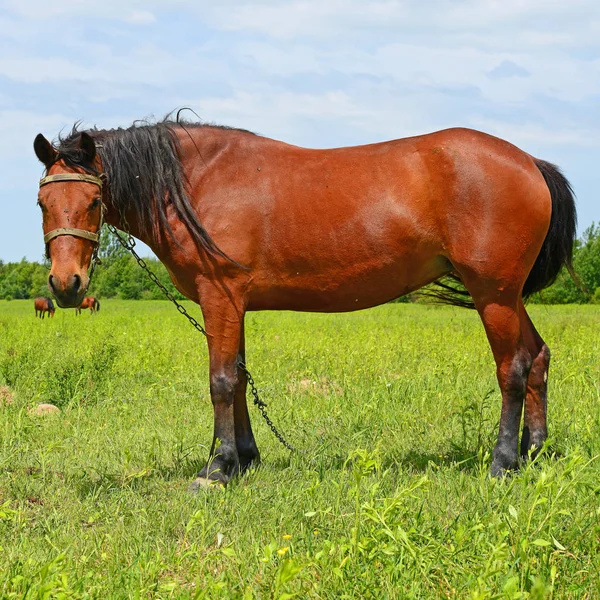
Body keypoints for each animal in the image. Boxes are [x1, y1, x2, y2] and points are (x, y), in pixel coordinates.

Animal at [32, 118, 576, 488]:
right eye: (43, 203)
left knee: (512, 368)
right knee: (539, 357)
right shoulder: (235, 304)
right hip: (506, 296)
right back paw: (535, 451)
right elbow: (240, 377)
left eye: (93, 202)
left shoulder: (219, 296)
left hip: (493, 295)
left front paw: (218, 468)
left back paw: (504, 461)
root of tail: (530, 162)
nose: (66, 284)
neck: (196, 182)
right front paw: (245, 458)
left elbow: (221, 380)